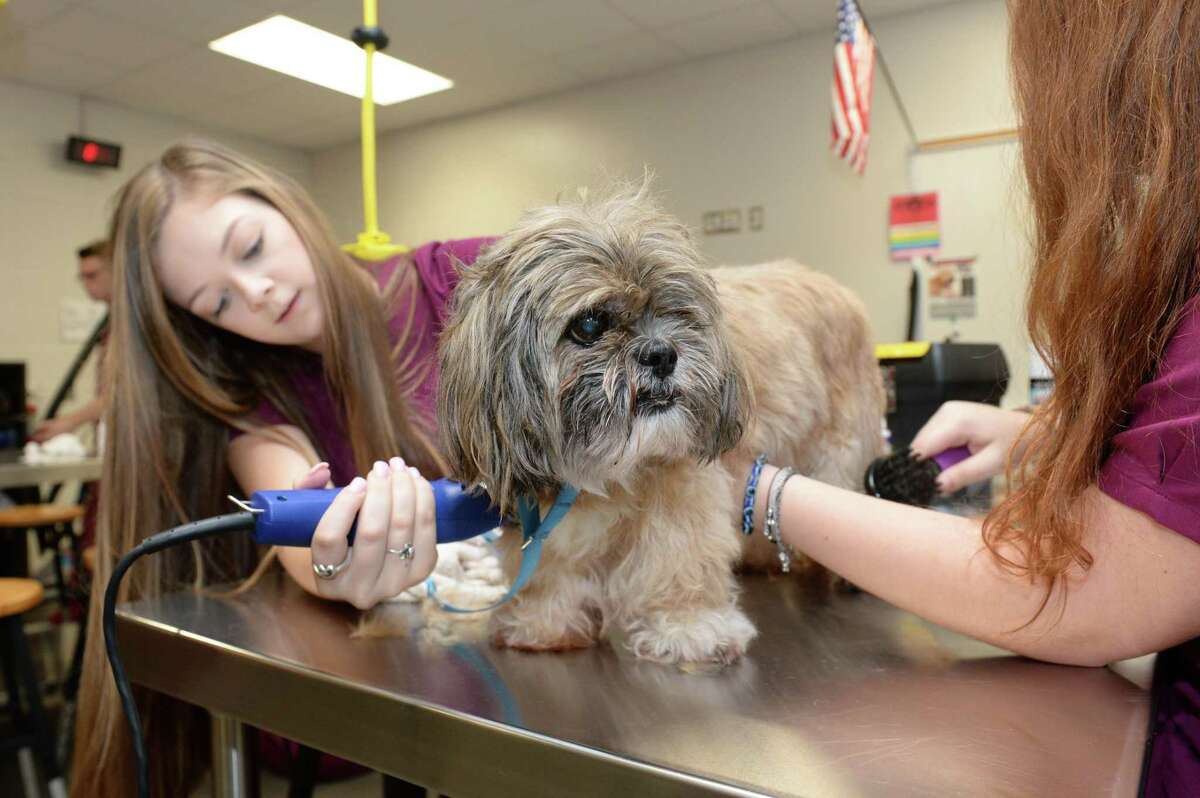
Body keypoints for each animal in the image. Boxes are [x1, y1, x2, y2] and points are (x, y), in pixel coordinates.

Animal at [436, 183, 888, 662]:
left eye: (675, 312)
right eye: (590, 325)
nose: (661, 353)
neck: (598, 472)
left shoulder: (683, 491)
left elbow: (679, 558)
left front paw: (690, 626)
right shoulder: (544, 521)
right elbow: (551, 570)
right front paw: (544, 623)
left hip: (840, 447)